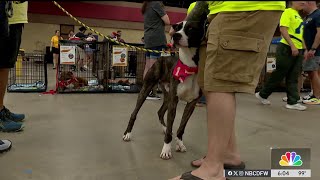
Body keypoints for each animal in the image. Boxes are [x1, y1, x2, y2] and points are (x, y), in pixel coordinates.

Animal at [122, 11, 208, 160]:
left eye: (191, 28)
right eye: (177, 27)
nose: (176, 35)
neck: (189, 67)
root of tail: (161, 57)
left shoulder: (191, 104)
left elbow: (181, 127)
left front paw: (179, 143)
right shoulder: (174, 101)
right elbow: (170, 129)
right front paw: (166, 149)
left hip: (168, 95)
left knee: (160, 112)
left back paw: (164, 127)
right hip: (147, 88)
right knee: (134, 113)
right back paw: (128, 133)